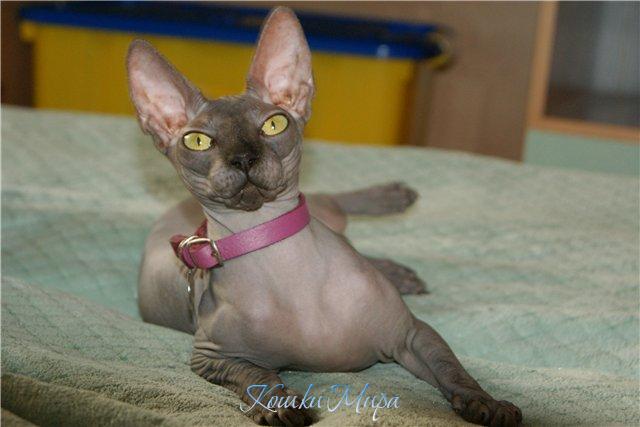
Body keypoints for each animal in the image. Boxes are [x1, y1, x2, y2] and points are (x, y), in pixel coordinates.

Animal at [128, 7, 522, 426]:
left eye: (274, 124)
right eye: (198, 141)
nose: (244, 158)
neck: (280, 258)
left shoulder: (412, 333)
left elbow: (453, 370)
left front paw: (486, 403)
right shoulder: (211, 357)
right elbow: (255, 376)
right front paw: (279, 406)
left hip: (326, 211)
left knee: (339, 205)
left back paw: (393, 200)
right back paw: (397, 268)